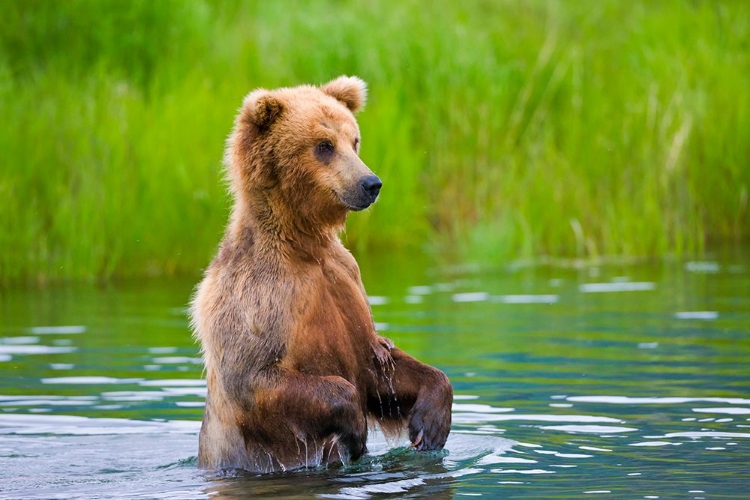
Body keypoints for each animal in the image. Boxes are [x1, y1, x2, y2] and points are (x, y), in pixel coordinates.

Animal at [191, 75, 456, 472]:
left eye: (354, 140)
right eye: (323, 146)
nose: (371, 183)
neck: (303, 244)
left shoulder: (345, 283)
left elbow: (379, 366)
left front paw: (430, 422)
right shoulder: (259, 298)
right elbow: (254, 377)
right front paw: (355, 428)